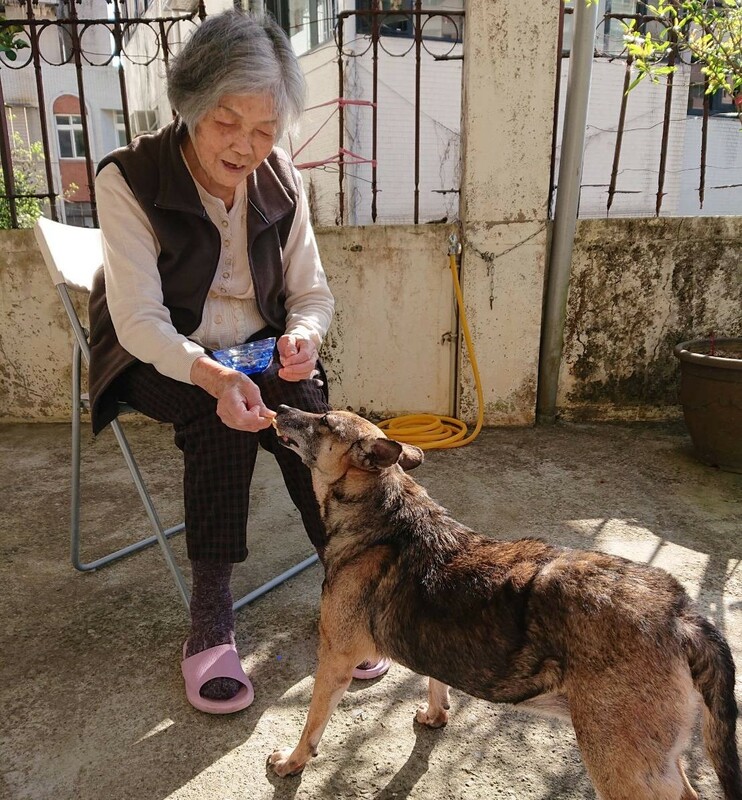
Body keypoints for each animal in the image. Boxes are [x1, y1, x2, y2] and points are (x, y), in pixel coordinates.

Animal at [268, 410, 742, 796]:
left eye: (323, 421)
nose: (281, 407)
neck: (384, 507)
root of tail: (680, 614)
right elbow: (435, 681)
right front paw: (436, 714)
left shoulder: (335, 660)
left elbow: (312, 723)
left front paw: (293, 762)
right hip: (653, 763)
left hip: (620, 765)